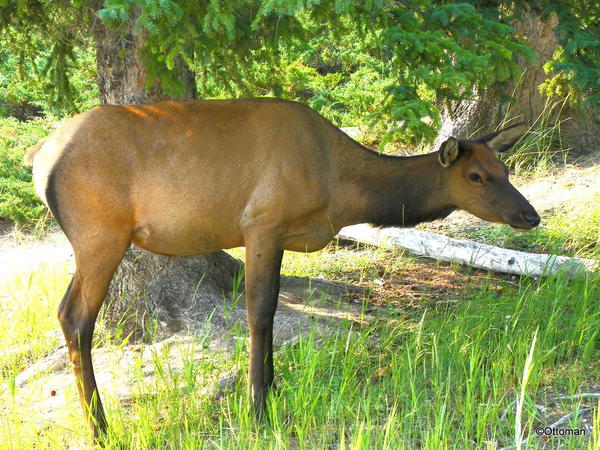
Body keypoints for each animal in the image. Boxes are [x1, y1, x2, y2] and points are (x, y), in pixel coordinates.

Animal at [24, 97, 540, 436]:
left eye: (506, 169)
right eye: (476, 176)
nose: (530, 215)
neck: (340, 190)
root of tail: (38, 156)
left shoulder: (281, 237)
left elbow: (270, 314)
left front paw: (270, 391)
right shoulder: (262, 223)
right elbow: (259, 314)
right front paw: (257, 409)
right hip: (100, 234)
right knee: (74, 316)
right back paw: (99, 427)